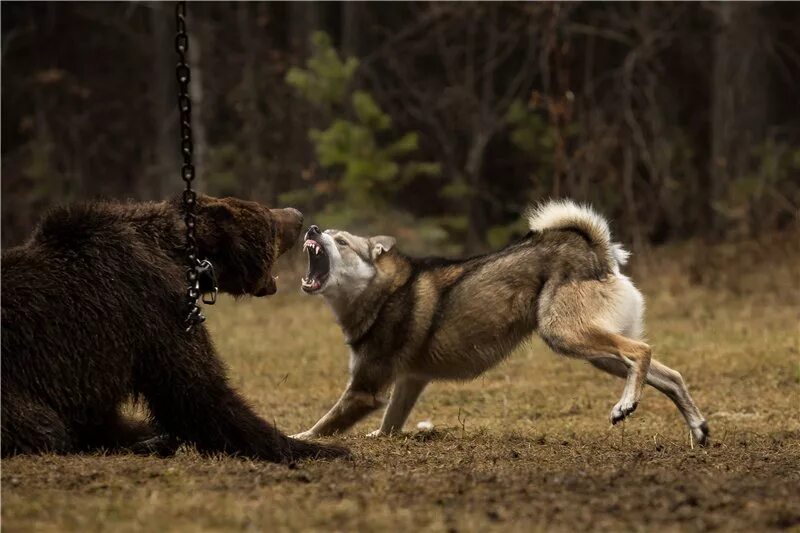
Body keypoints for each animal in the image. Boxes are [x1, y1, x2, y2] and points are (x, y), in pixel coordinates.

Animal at [1, 194, 348, 462]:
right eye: (266, 217)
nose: (298, 217)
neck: (183, 262)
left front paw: (149, 435)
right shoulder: (152, 306)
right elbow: (198, 394)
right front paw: (322, 449)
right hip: (15, 390)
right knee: (44, 428)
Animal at [292, 202, 708, 442]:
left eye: (341, 241)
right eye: (326, 232)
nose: (311, 229)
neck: (381, 290)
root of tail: (594, 249)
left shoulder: (364, 390)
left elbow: (321, 426)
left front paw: (299, 438)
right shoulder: (409, 382)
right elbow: (388, 427)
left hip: (566, 335)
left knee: (642, 351)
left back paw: (625, 405)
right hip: (597, 353)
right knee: (670, 375)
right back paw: (698, 429)